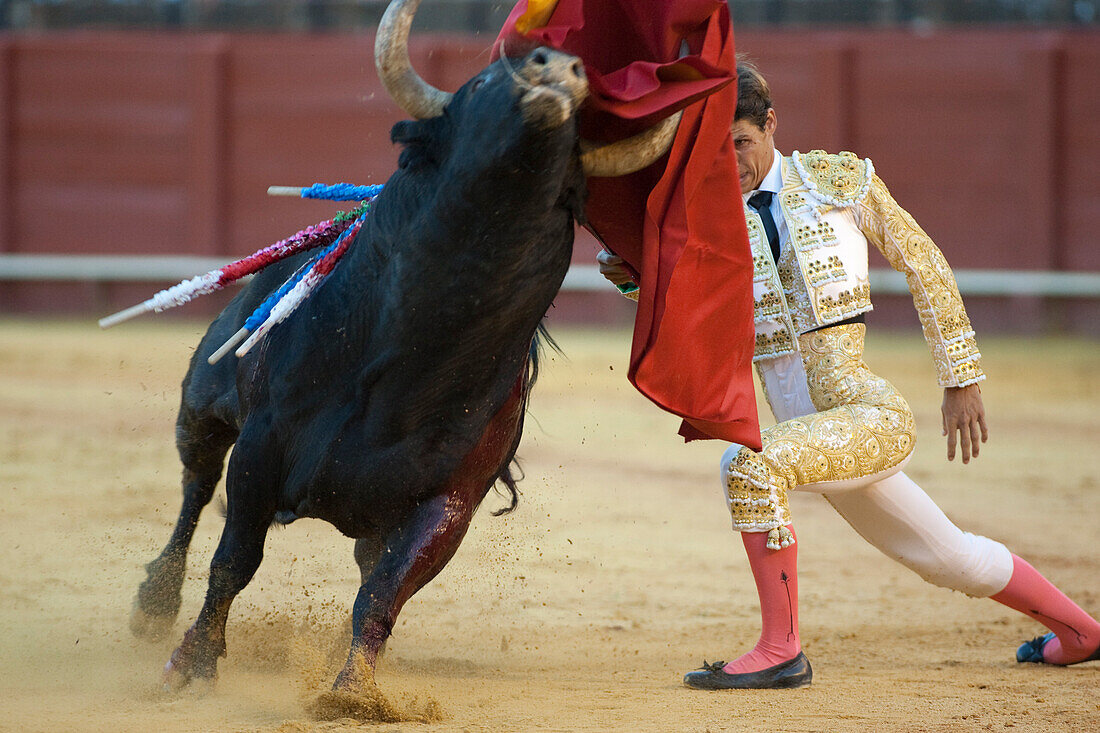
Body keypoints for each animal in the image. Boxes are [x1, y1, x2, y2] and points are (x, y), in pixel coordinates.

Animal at [128, 0, 677, 691]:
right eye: (482, 82)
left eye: (580, 124)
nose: (557, 73)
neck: (419, 351)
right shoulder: (261, 444)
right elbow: (235, 559)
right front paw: (192, 663)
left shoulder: (448, 505)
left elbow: (383, 594)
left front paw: (354, 690)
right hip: (202, 402)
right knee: (196, 487)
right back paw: (153, 604)